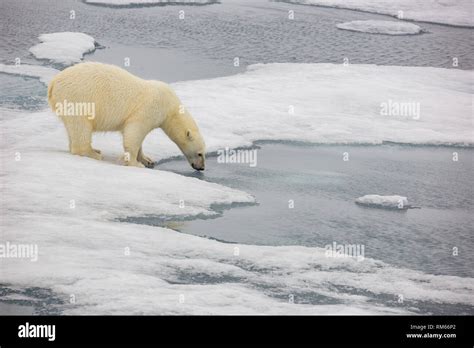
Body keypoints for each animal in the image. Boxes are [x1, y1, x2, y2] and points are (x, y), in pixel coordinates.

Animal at [46, 63, 207, 172]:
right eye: (200, 153)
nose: (202, 168)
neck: (170, 107)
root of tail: (53, 83)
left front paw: (147, 159)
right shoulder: (148, 109)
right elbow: (134, 133)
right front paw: (136, 163)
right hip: (78, 99)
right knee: (81, 126)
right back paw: (94, 153)